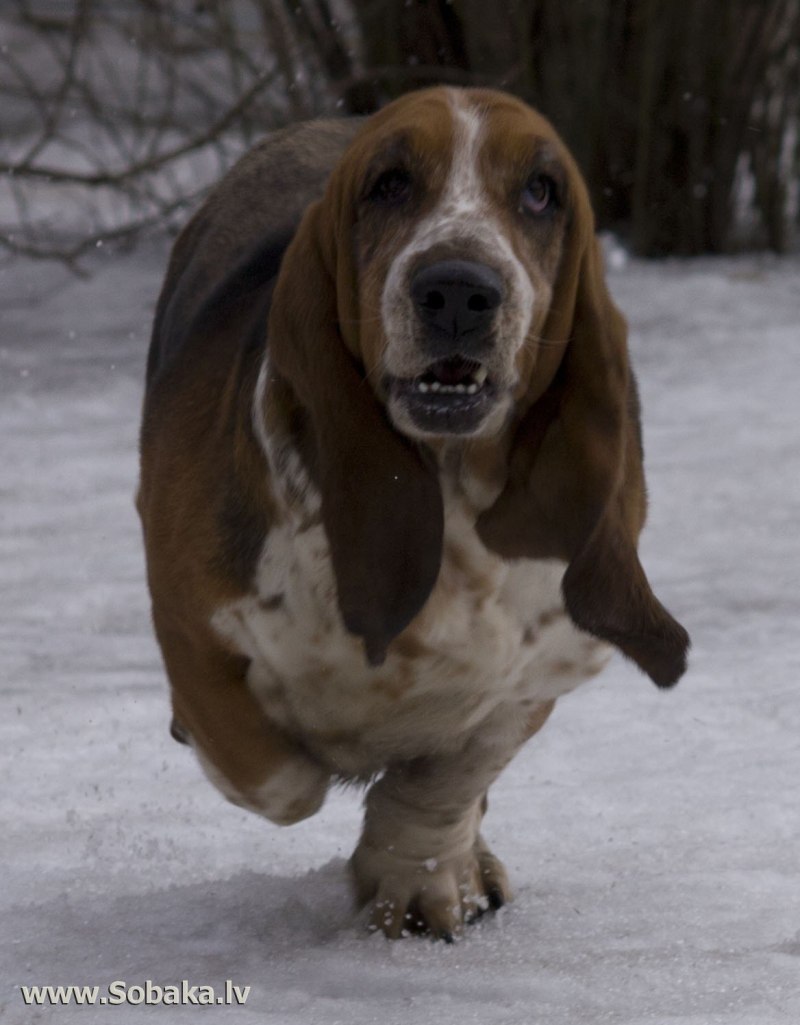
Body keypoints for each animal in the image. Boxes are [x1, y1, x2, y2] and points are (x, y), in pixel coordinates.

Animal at [137, 86, 689, 938]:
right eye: (389, 184)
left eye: (542, 191)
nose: (458, 288)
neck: (448, 488)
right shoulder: (190, 625)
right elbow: (277, 774)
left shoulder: (541, 665)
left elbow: (450, 774)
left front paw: (419, 877)